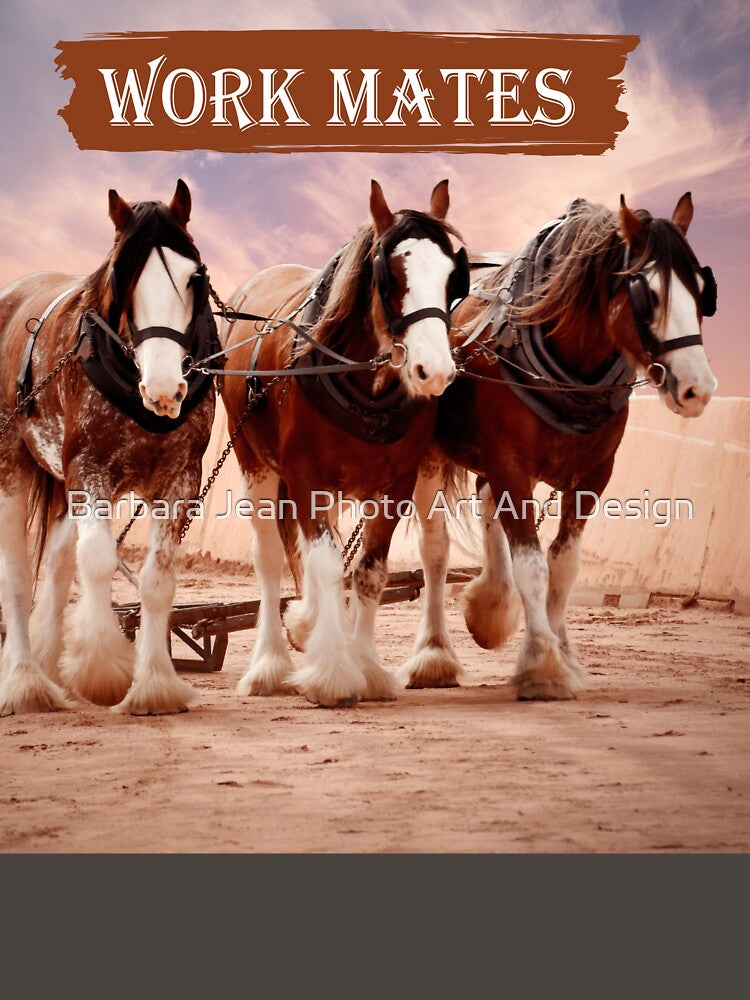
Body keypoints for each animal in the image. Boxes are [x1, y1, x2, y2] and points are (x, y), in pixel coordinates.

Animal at [0, 180, 219, 716]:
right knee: (17, 574)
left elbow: (157, 579)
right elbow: (98, 560)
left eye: (195, 278)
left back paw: (50, 661)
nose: (165, 390)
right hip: (14, 465)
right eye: (123, 276)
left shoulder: (180, 480)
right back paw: (26, 681)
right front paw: (102, 670)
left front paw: (155, 685)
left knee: (58, 561)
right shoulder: (88, 470)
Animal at [220, 179, 468, 706]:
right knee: (269, 555)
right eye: (390, 275)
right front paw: (333, 672)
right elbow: (326, 565)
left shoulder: (396, 483)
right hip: (255, 460)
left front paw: (366, 667)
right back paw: (269, 664)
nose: (435, 371)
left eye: (452, 278)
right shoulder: (305, 476)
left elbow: (368, 571)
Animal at [402, 192, 717, 699]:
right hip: (431, 455)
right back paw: (434, 655)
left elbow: (563, 566)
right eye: (647, 294)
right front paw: (542, 665)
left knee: (487, 508)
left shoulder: (592, 475)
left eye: (703, 291)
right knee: (435, 550)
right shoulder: (511, 464)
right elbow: (532, 565)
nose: (699, 389)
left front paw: (561, 651)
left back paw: (493, 605)